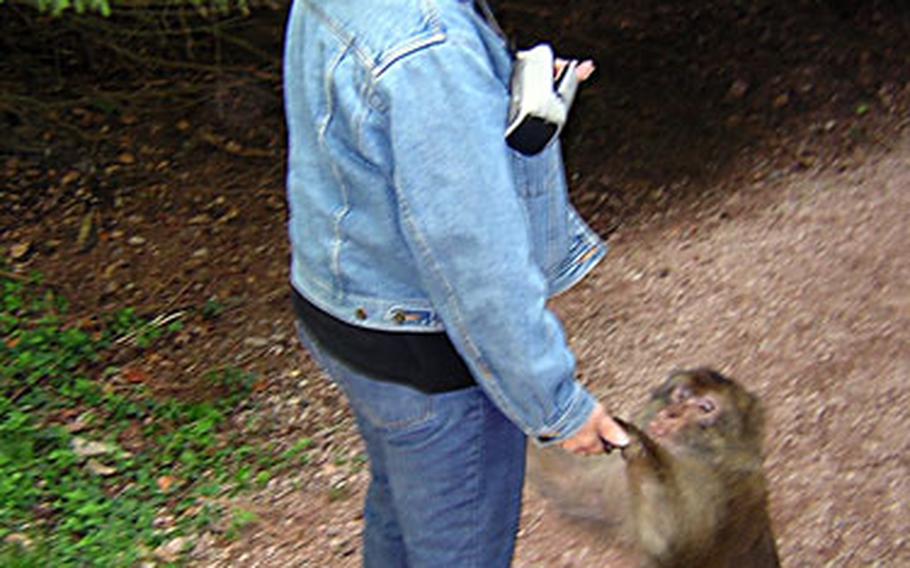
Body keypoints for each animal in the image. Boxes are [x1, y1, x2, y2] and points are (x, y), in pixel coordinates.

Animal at [532, 368, 780, 568]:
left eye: (705, 407)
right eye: (681, 395)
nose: (672, 413)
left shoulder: (716, 487)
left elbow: (669, 541)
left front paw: (638, 443)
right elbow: (571, 485)